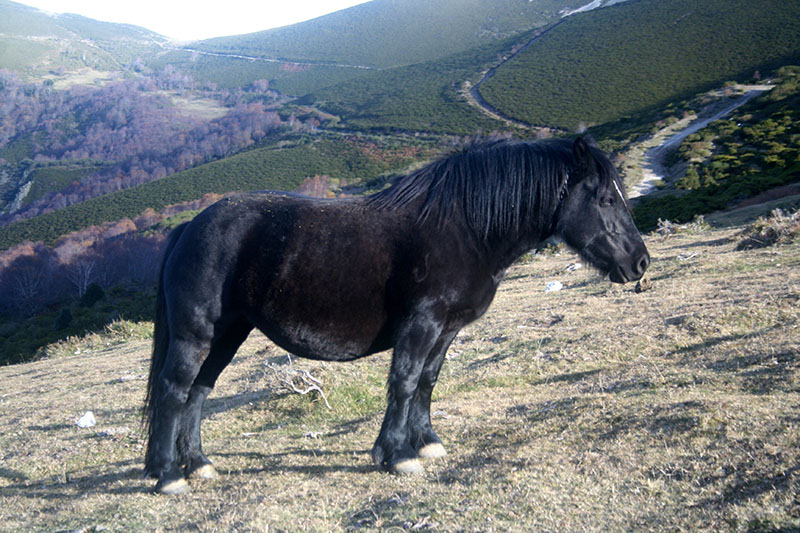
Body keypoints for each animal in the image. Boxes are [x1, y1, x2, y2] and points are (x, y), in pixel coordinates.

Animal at [141, 137, 648, 494]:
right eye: (605, 199)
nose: (640, 263)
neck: (465, 227)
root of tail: (189, 226)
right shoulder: (421, 325)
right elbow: (403, 384)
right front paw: (396, 455)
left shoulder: (446, 329)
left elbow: (426, 382)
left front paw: (427, 443)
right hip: (196, 333)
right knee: (174, 391)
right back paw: (168, 476)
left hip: (228, 333)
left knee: (198, 393)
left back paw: (200, 465)